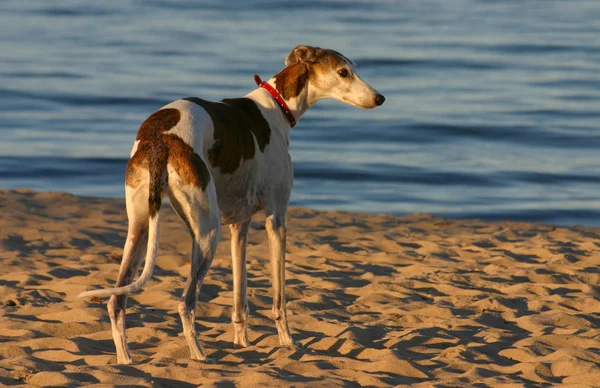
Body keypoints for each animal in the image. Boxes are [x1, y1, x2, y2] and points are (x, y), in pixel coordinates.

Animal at [77, 44, 384, 364]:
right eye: (343, 72)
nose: (380, 98)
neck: (276, 105)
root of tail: (159, 139)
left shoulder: (240, 225)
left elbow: (239, 296)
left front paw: (241, 342)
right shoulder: (276, 220)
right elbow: (279, 299)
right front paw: (288, 342)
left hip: (140, 228)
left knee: (116, 301)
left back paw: (126, 361)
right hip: (207, 232)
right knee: (185, 303)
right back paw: (200, 357)